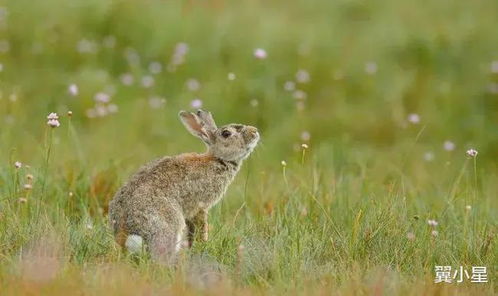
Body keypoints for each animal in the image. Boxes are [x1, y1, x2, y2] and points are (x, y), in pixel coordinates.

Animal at [109, 108, 260, 264]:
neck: (218, 159)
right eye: (226, 133)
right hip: (168, 224)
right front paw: (202, 243)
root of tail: (127, 235)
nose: (255, 131)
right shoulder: (200, 207)